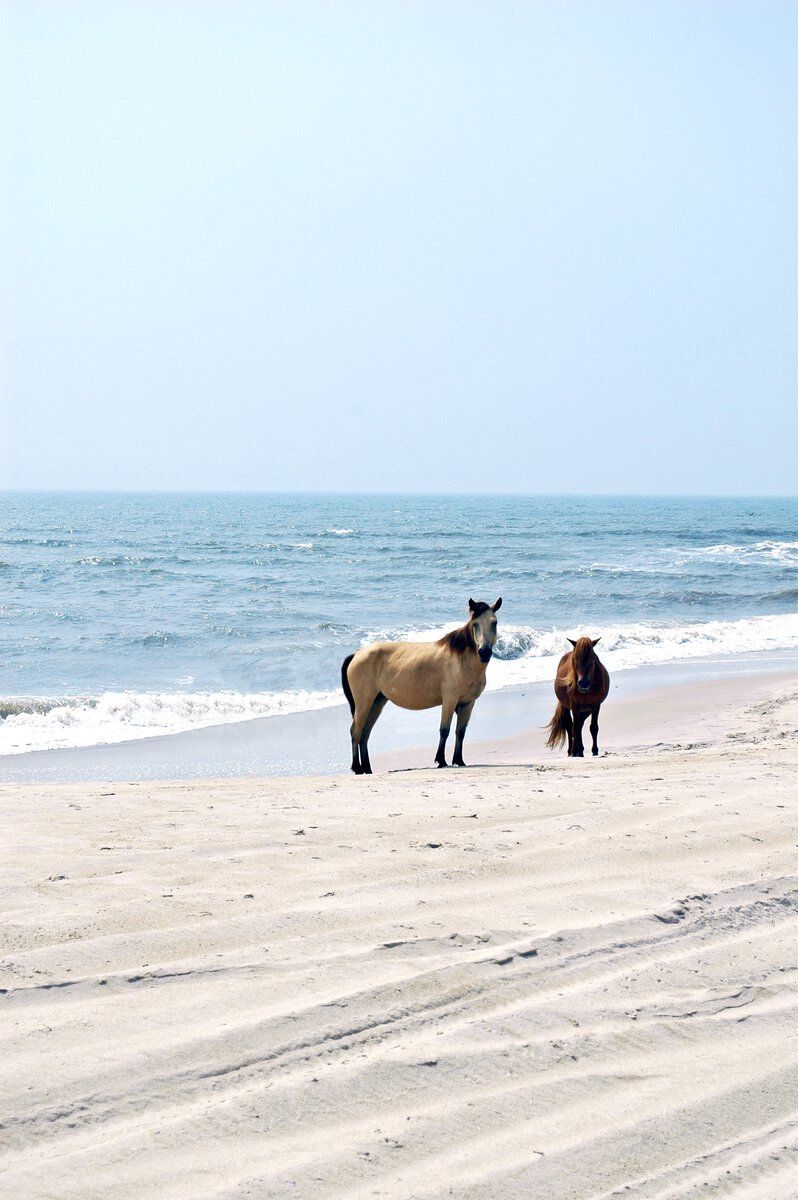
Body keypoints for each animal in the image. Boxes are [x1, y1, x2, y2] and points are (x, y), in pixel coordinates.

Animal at [341, 598, 502, 774]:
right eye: (475, 624)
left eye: (494, 622)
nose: (484, 652)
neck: (462, 660)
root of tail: (358, 653)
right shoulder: (449, 699)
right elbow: (444, 730)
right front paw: (441, 760)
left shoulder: (468, 703)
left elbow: (460, 732)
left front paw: (459, 760)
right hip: (364, 702)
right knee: (355, 731)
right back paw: (357, 768)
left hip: (377, 702)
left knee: (364, 734)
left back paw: (367, 768)